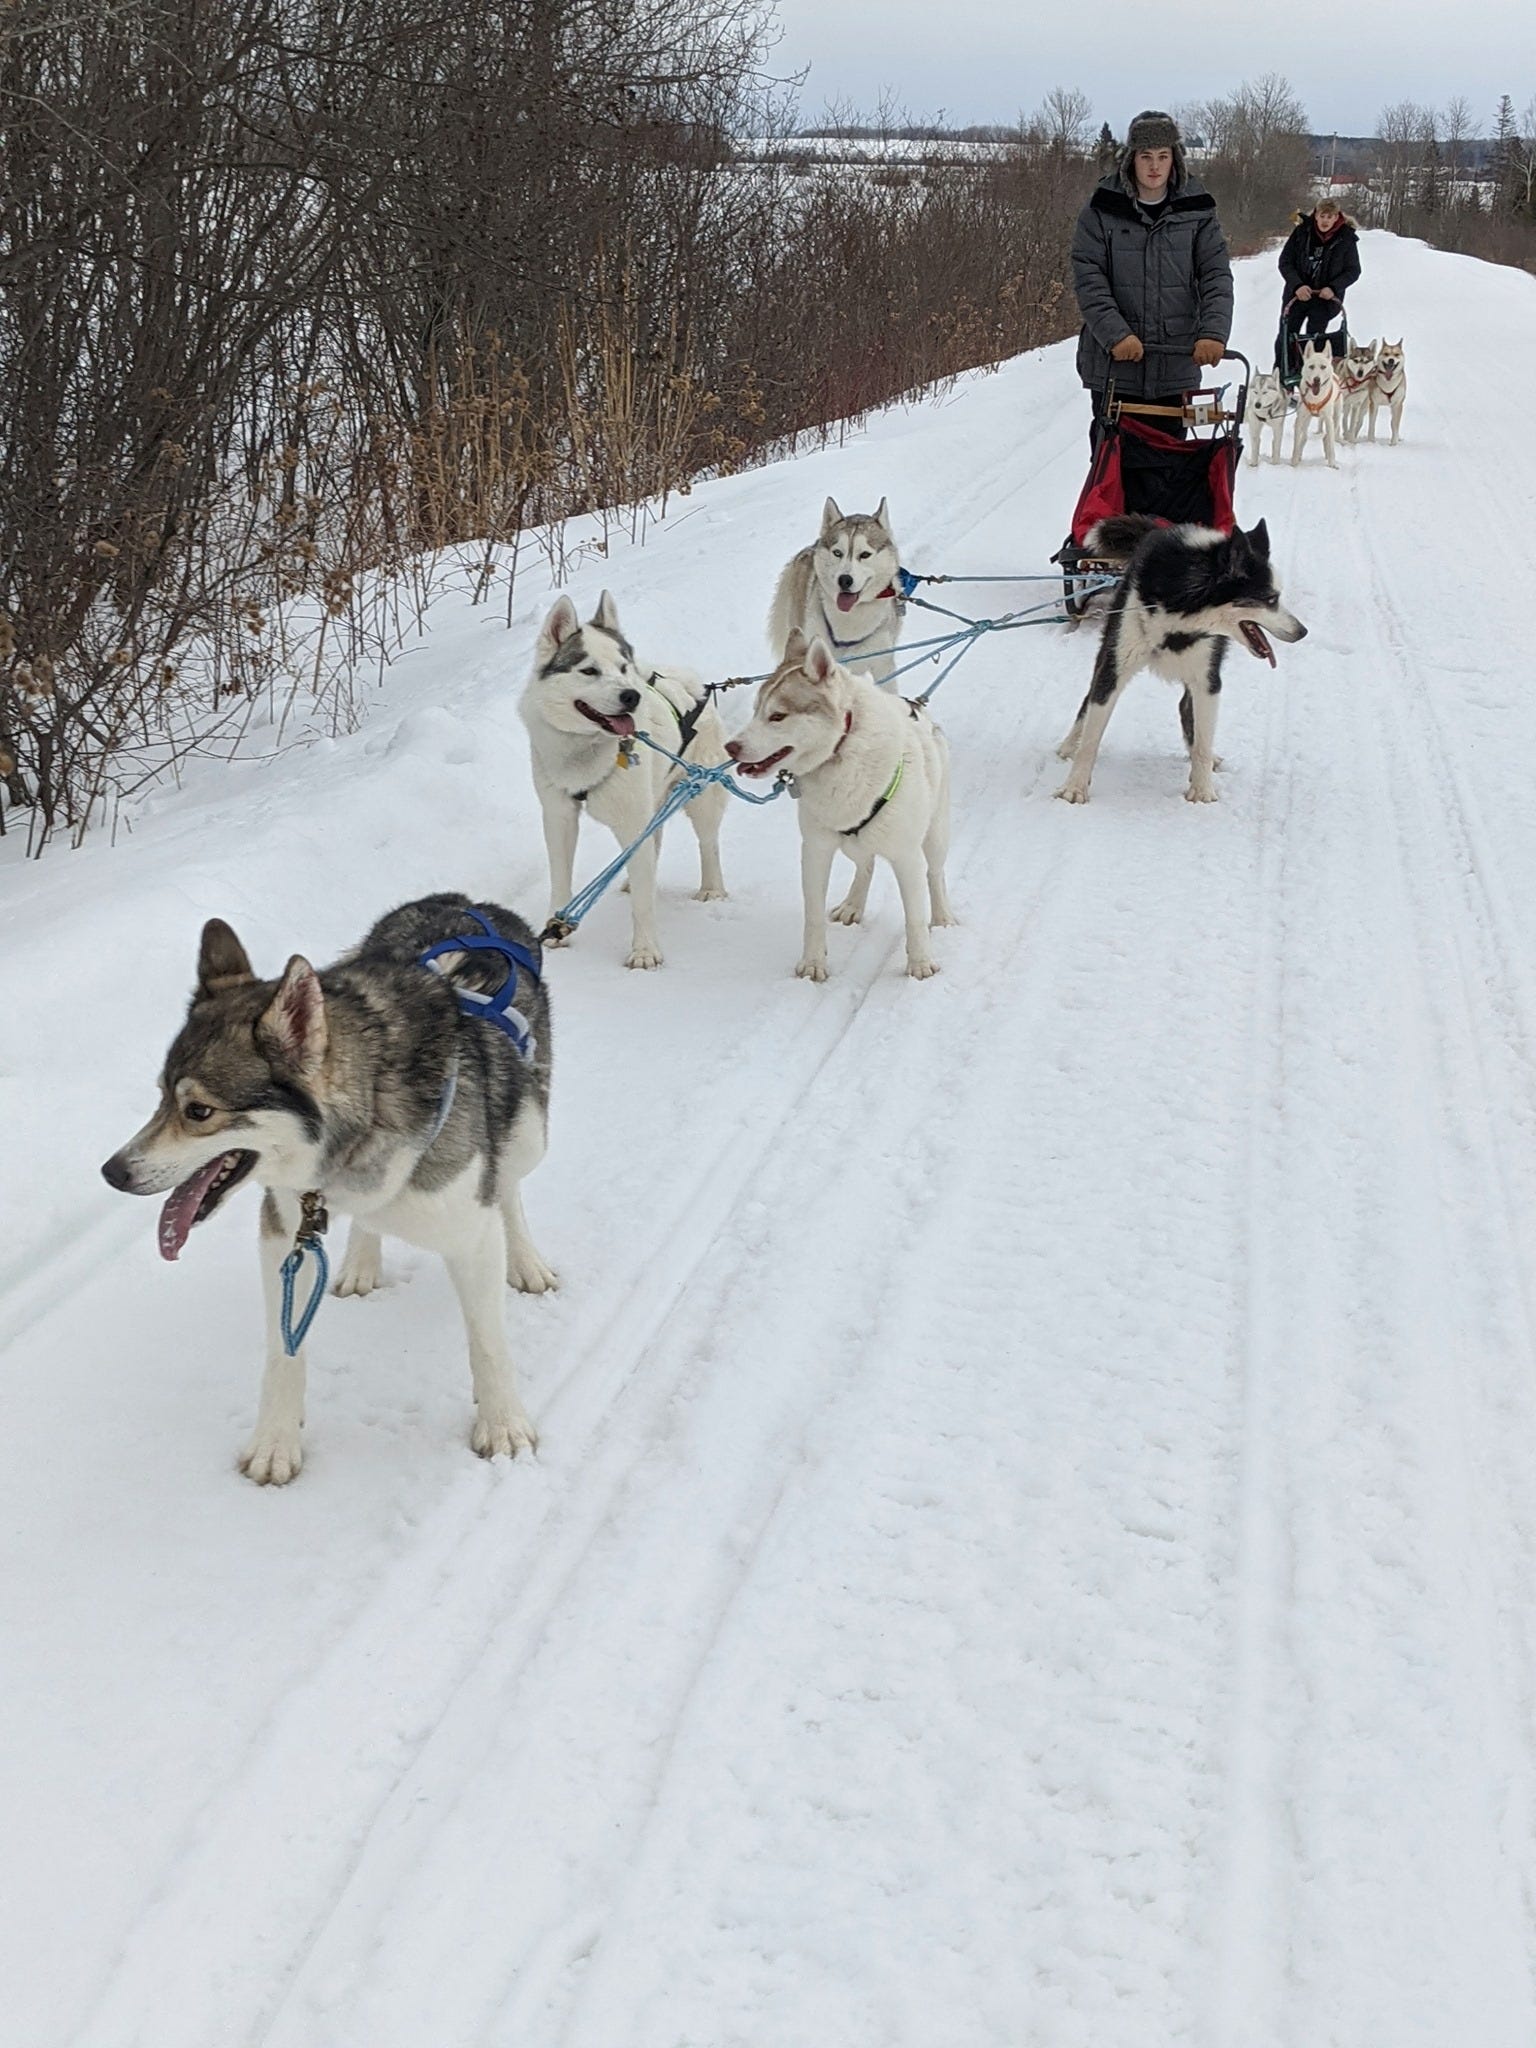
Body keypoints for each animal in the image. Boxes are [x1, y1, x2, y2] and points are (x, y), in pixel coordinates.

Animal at [97, 897, 552, 1490]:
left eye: (198, 1110)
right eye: (160, 1099)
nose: (112, 1172)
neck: (363, 1122)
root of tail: (467, 903)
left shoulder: (469, 1234)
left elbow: (489, 1343)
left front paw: (503, 1426)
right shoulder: (285, 1230)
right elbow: (283, 1354)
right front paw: (275, 1443)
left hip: (530, 1134)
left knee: (510, 1185)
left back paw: (525, 1259)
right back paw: (360, 1261)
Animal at [520, 585, 729, 966]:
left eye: (621, 667)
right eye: (588, 671)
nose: (631, 695)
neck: (587, 751)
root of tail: (691, 685)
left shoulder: (632, 821)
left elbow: (643, 904)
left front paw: (645, 950)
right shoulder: (558, 817)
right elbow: (561, 877)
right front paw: (556, 928)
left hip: (700, 798)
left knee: (708, 844)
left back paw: (711, 889)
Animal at [724, 626, 950, 978]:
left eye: (778, 716)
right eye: (756, 711)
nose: (730, 747)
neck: (840, 750)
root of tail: (917, 707)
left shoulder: (907, 857)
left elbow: (914, 916)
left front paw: (921, 963)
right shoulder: (815, 851)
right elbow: (813, 915)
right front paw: (813, 964)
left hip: (935, 836)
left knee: (935, 875)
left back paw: (942, 918)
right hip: (852, 845)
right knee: (866, 865)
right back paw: (853, 905)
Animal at [1056, 520, 1310, 806]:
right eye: (1271, 599)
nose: (1302, 631)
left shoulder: (1208, 682)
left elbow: (1202, 743)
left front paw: (1202, 790)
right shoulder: (1114, 669)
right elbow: (1091, 739)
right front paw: (1074, 787)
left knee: (1187, 710)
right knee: (1088, 699)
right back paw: (1069, 744)